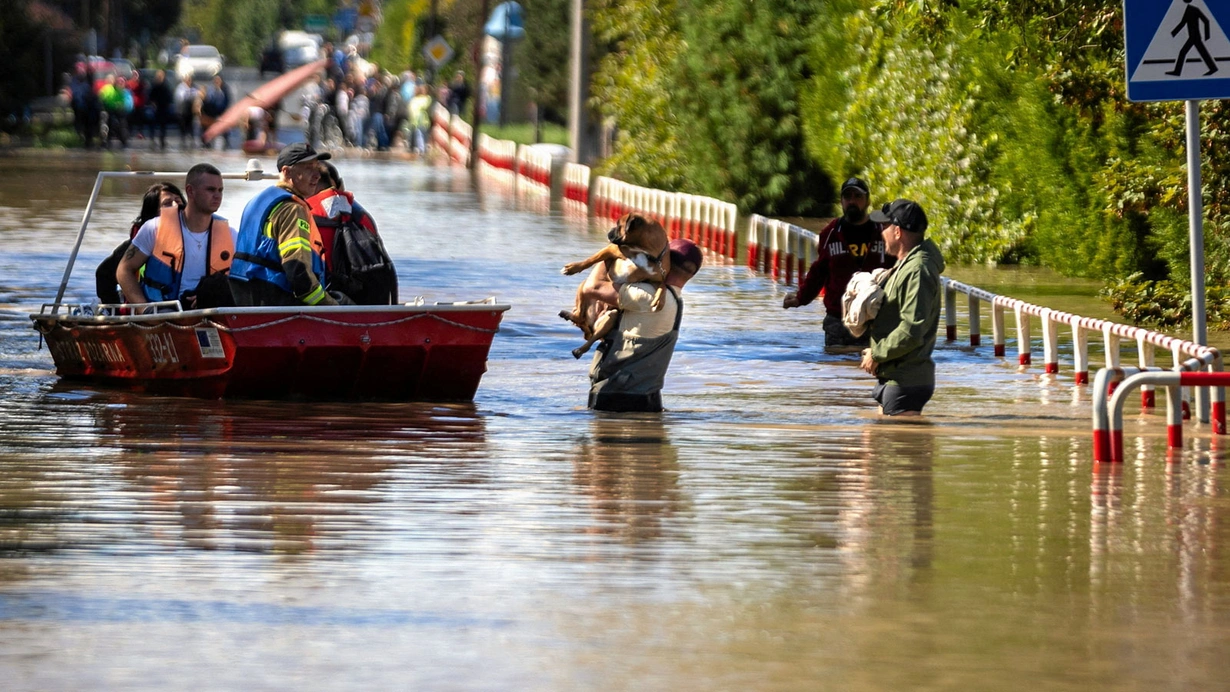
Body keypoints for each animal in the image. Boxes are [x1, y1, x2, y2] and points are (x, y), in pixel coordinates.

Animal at [560, 213, 669, 361]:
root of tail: (589, 324)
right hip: (583, 288)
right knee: (579, 315)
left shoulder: (655, 278)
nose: (610, 231)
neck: (644, 251)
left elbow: (663, 286)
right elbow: (591, 259)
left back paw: (579, 349)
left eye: (618, 225)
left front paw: (660, 300)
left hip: (611, 316)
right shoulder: (611, 249)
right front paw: (573, 267)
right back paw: (568, 316)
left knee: (589, 333)